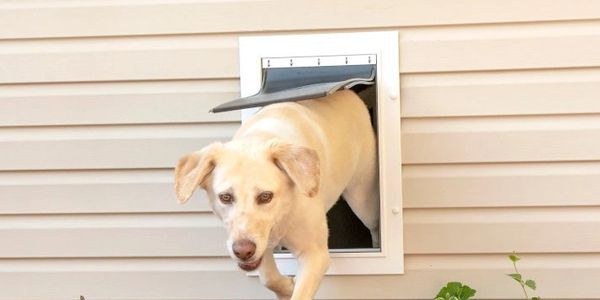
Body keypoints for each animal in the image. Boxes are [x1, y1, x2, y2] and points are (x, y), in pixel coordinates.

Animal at [175, 90, 380, 300]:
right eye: (225, 197)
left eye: (266, 196)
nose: (243, 251)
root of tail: (350, 92)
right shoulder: (261, 243)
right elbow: (268, 277)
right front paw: (287, 287)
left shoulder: (315, 254)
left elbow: (300, 293)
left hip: (363, 200)